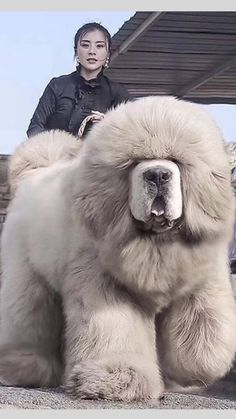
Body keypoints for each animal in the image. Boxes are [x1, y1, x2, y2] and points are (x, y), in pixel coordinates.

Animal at [0, 97, 236, 402]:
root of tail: (34, 175)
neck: (155, 242)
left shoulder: (200, 283)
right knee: (27, 316)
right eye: (134, 164)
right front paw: (115, 379)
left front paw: (192, 372)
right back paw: (23, 367)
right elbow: (113, 329)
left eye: (176, 162)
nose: (157, 175)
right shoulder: (103, 284)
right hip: (27, 276)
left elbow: (202, 333)